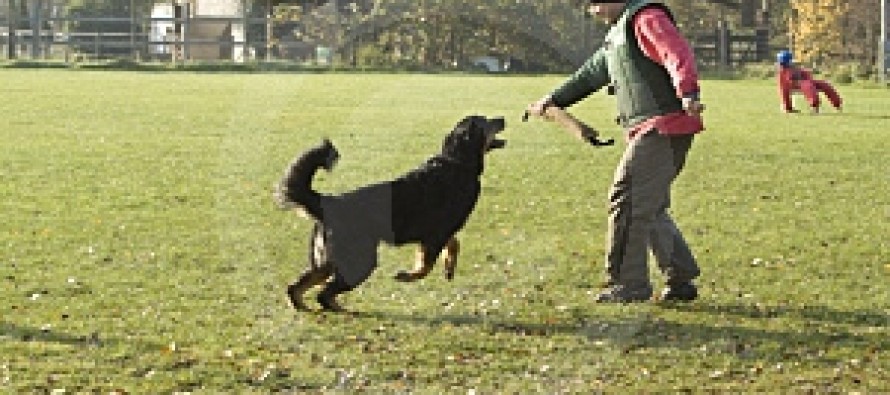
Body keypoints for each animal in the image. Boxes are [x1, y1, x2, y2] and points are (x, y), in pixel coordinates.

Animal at [270, 115, 506, 312]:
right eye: (485, 120)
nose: (502, 118)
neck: (457, 161)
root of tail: (328, 201)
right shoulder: (435, 234)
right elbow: (425, 267)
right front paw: (407, 276)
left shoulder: (439, 233)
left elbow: (453, 245)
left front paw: (449, 268)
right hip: (360, 261)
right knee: (323, 294)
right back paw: (344, 311)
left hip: (326, 262)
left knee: (297, 287)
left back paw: (304, 307)